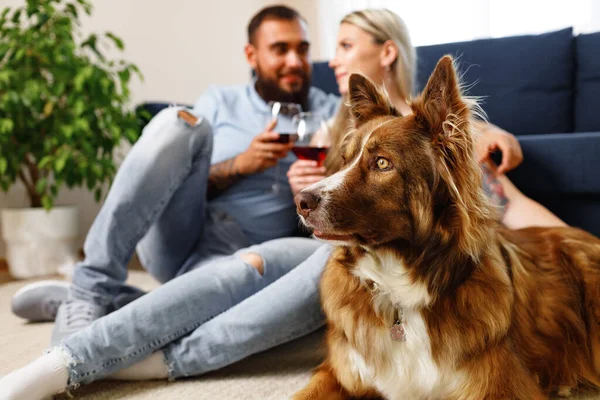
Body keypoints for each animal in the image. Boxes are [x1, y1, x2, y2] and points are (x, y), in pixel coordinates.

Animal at [292, 57, 600, 400]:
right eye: (344, 160)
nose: (300, 201)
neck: (400, 287)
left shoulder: (501, 385)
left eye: (382, 163)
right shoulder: (338, 371)